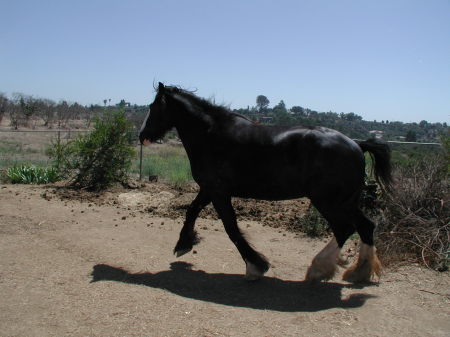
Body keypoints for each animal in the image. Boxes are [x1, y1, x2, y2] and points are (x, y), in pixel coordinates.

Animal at [140, 82, 390, 282]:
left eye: (153, 107)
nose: (142, 135)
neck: (211, 135)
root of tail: (357, 144)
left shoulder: (219, 192)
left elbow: (231, 227)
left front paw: (255, 266)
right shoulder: (209, 189)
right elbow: (192, 211)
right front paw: (183, 244)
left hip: (329, 201)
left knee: (345, 228)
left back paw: (319, 270)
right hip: (346, 201)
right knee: (366, 226)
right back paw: (359, 273)